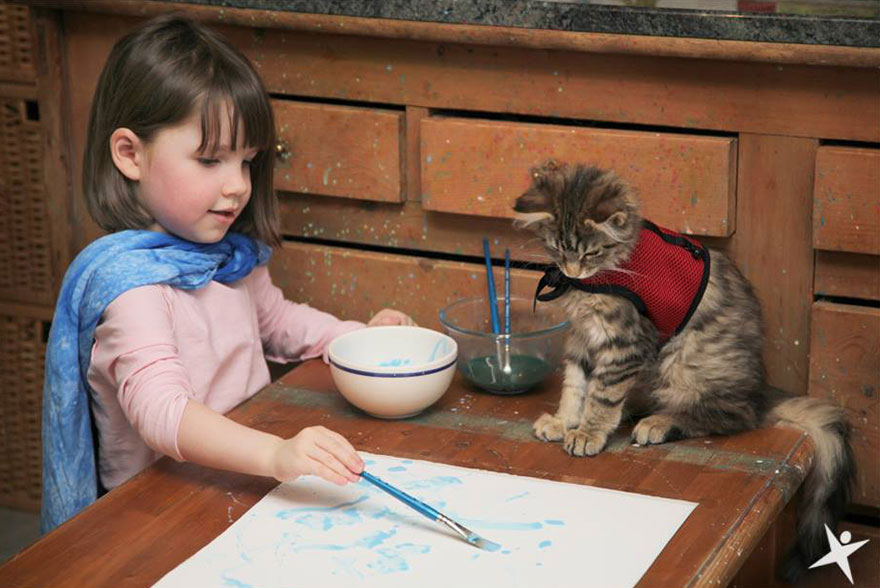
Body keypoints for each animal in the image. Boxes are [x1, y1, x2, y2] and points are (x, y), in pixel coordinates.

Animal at [516, 160, 852, 580]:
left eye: (591, 252)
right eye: (558, 250)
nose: (572, 271)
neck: (606, 273)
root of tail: (760, 390)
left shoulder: (627, 343)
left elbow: (602, 395)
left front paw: (589, 432)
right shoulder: (582, 338)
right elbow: (575, 386)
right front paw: (564, 422)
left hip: (682, 360)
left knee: (734, 415)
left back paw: (659, 423)